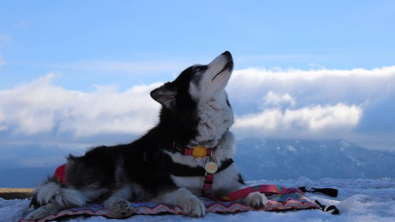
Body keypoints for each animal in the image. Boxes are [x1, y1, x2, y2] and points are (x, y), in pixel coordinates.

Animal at [27, 51, 268, 219]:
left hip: (124, 188)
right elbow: (183, 192)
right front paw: (193, 203)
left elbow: (243, 189)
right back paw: (38, 213)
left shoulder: (229, 181)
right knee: (64, 196)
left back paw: (120, 207)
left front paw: (255, 195)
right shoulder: (161, 186)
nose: (228, 52)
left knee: (103, 200)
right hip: (101, 175)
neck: (202, 148)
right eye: (198, 70)